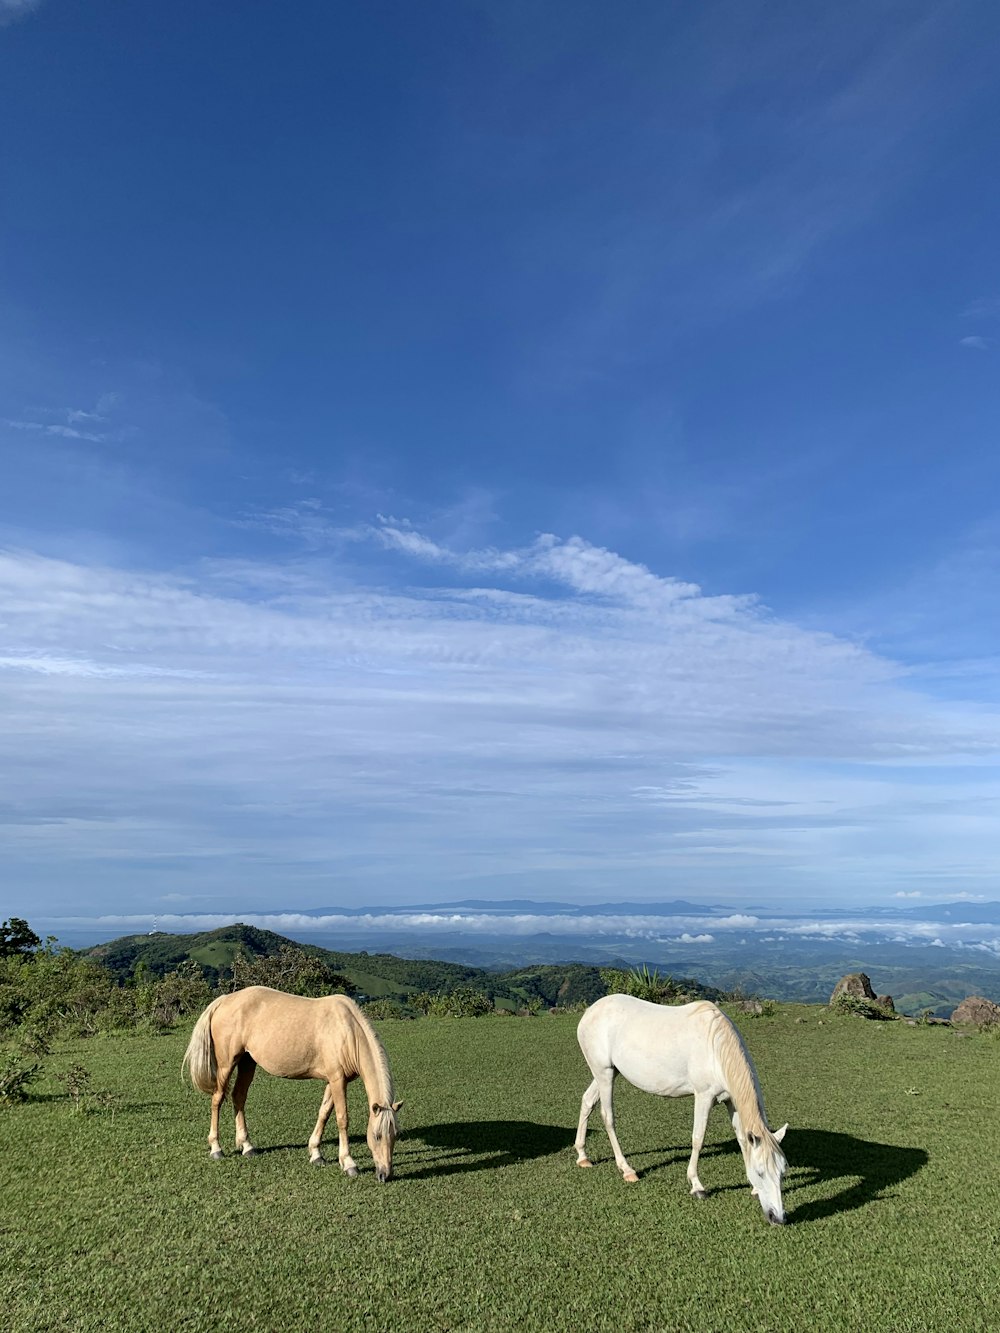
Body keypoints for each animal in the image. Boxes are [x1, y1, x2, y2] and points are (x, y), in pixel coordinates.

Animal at [182, 986, 402, 1183]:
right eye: (376, 1135)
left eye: (395, 1135)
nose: (384, 1174)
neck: (347, 1031)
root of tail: (224, 1000)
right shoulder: (337, 1080)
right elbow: (342, 1119)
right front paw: (348, 1163)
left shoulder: (334, 1081)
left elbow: (324, 1113)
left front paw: (316, 1153)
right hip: (227, 1064)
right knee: (217, 1099)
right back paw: (216, 1149)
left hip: (247, 1062)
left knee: (239, 1096)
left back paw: (247, 1146)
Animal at [578, 997, 789, 1221]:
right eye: (760, 1172)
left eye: (782, 1172)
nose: (778, 1217)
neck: (715, 1047)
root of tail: (591, 1011)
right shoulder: (704, 1096)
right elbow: (698, 1139)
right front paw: (697, 1186)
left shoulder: (731, 1101)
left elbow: (742, 1140)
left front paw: (754, 1189)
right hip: (604, 1073)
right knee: (607, 1117)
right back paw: (627, 1169)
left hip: (608, 1073)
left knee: (587, 1102)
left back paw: (582, 1156)